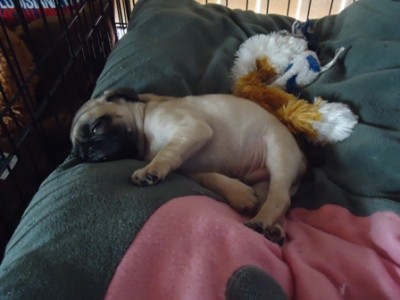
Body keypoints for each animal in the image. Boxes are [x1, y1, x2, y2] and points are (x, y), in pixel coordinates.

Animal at [70, 88, 304, 245]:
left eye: (97, 127)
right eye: (81, 155)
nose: (90, 153)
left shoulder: (192, 129)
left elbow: (166, 152)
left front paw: (149, 171)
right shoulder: (190, 168)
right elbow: (212, 178)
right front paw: (239, 194)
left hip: (277, 150)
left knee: (280, 198)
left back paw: (260, 222)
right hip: (263, 181)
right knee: (274, 199)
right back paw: (273, 229)